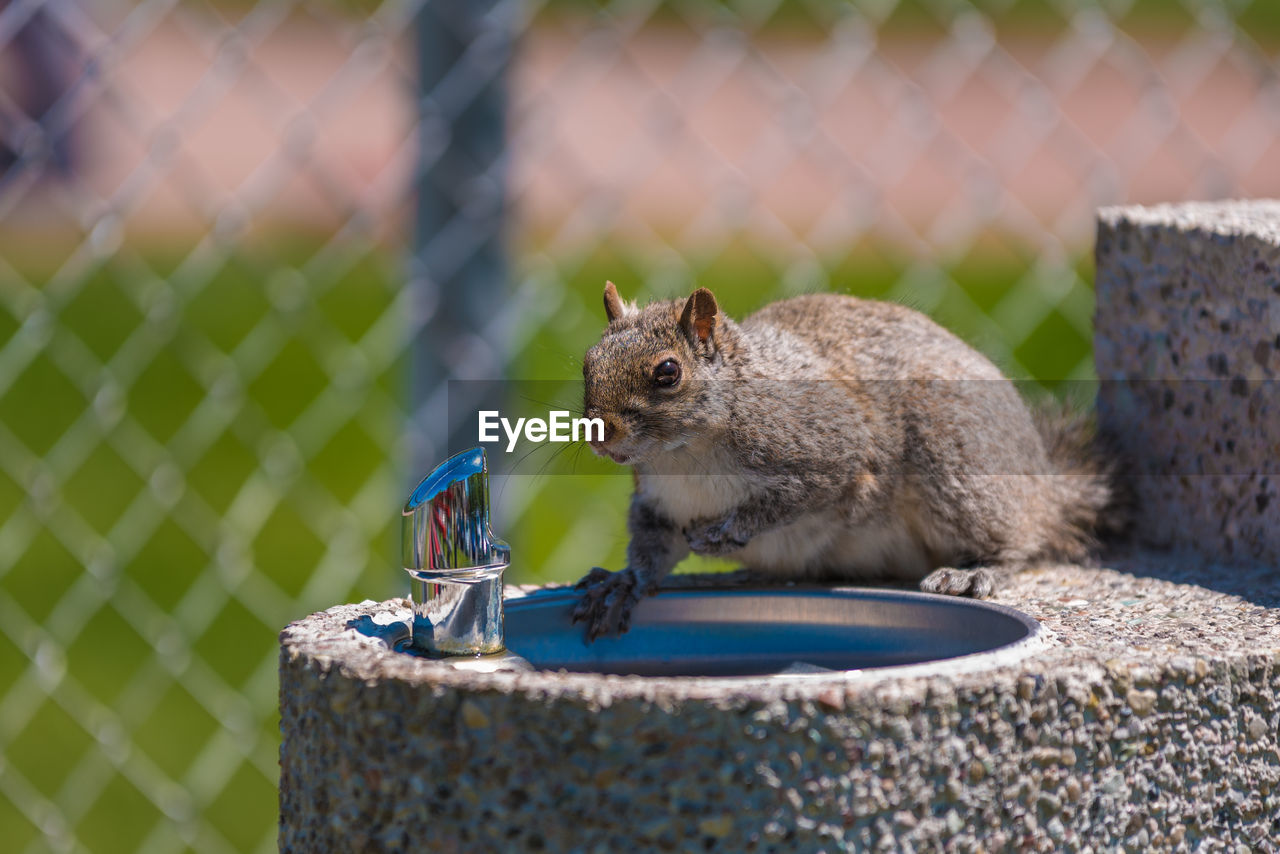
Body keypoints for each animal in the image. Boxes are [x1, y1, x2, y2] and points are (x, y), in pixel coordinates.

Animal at [576, 284, 1126, 637]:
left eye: (668, 372)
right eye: (587, 363)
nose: (598, 432)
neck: (685, 455)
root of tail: (1043, 486)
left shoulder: (838, 445)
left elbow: (801, 496)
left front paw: (728, 531)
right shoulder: (658, 502)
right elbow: (653, 548)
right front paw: (625, 583)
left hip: (957, 458)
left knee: (1019, 536)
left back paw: (976, 571)